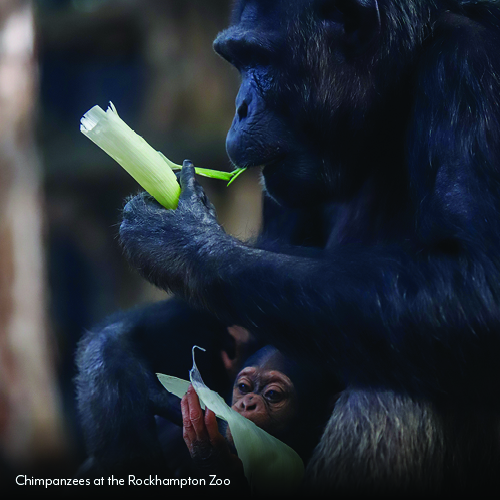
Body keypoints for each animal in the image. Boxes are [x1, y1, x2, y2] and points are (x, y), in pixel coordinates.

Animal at [75, 0, 500, 496]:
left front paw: (180, 238)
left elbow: (476, 282)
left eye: (258, 58)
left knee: (394, 388)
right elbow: (247, 307)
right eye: (237, 61)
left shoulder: (468, 71)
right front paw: (112, 363)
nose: (240, 106)